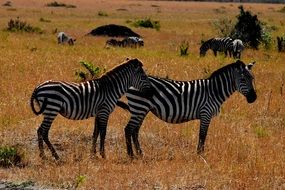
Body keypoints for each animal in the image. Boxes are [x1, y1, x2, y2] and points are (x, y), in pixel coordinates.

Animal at [116, 59, 256, 157]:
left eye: (252, 78)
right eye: (243, 79)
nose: (253, 98)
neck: (214, 91)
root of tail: (130, 83)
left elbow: (202, 135)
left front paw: (200, 154)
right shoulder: (206, 113)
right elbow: (202, 135)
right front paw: (200, 155)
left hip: (142, 109)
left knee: (135, 131)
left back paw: (140, 153)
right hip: (139, 107)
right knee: (128, 129)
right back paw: (131, 155)